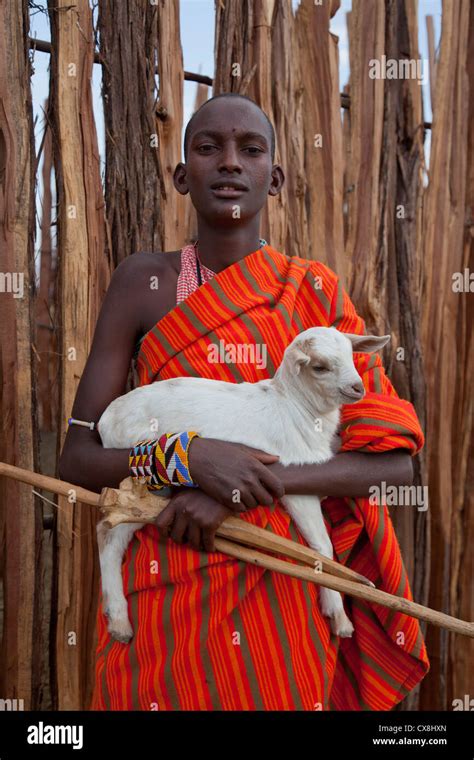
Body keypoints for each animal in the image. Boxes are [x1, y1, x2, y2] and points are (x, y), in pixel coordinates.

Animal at [95, 326, 388, 640]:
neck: (295, 407)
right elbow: (322, 546)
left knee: (113, 530)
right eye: (319, 367)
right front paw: (340, 617)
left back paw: (118, 620)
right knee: (108, 533)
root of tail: (105, 422)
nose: (357, 388)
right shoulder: (296, 480)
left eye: (351, 355)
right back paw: (119, 620)